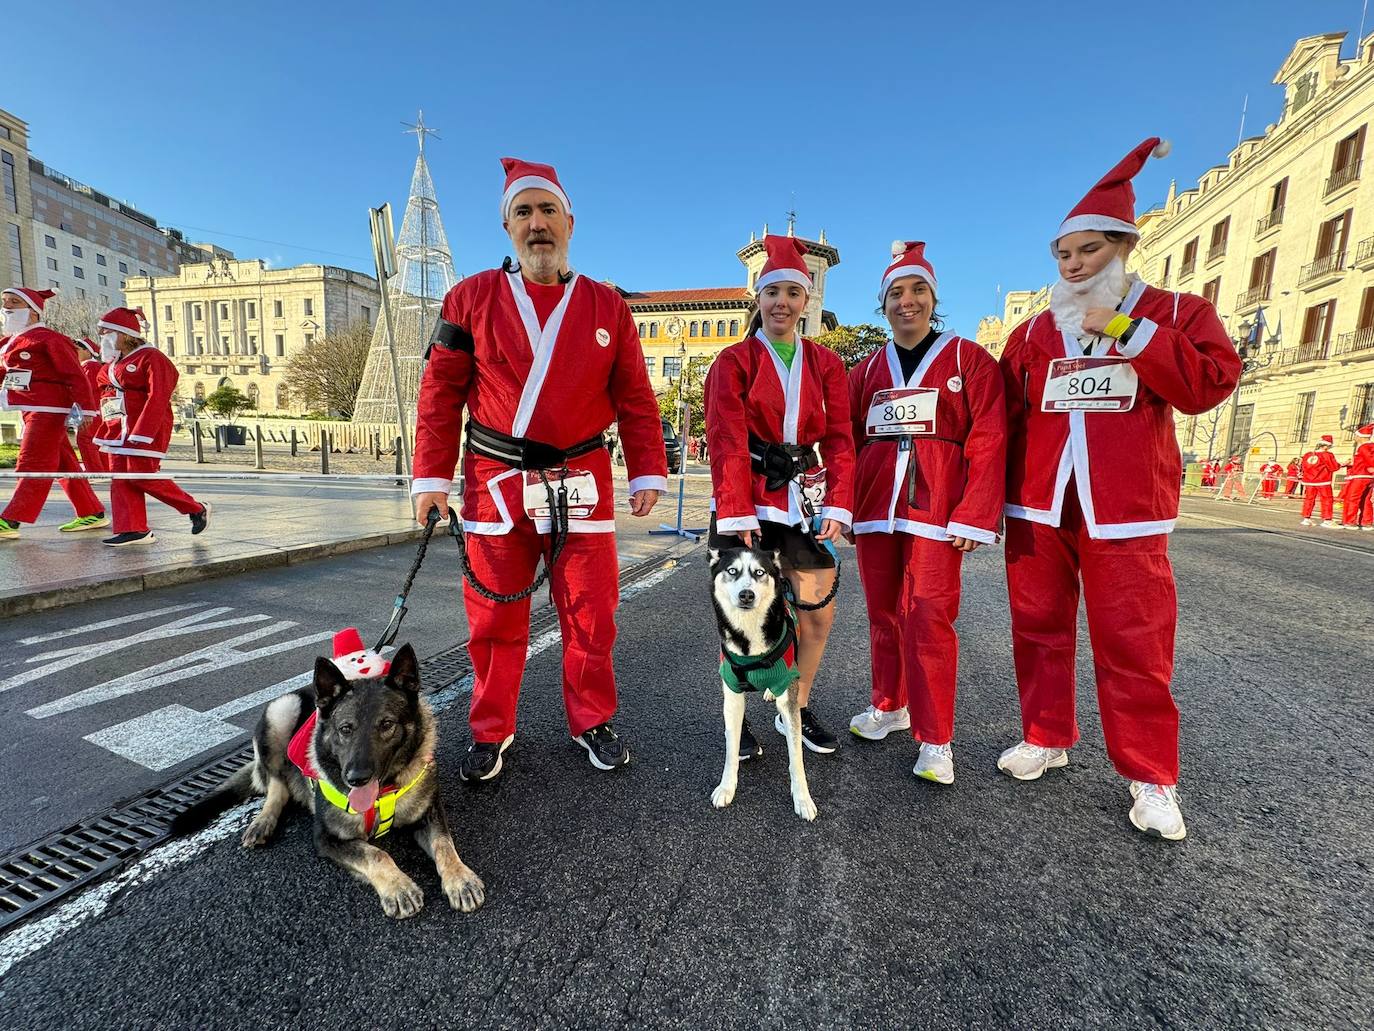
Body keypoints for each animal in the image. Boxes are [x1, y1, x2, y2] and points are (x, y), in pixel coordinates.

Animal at [171, 646, 486, 918]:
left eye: (386, 725)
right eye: (345, 729)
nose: (356, 778)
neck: (383, 792)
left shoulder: (430, 815)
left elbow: (444, 844)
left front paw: (460, 878)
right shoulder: (326, 838)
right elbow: (376, 853)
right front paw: (398, 887)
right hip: (281, 710)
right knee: (276, 784)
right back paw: (263, 822)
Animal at [708, 549, 813, 824]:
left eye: (759, 572)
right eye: (732, 571)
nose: (747, 594)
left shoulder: (788, 690)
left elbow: (796, 756)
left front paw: (802, 798)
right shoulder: (732, 694)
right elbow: (731, 748)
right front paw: (726, 787)